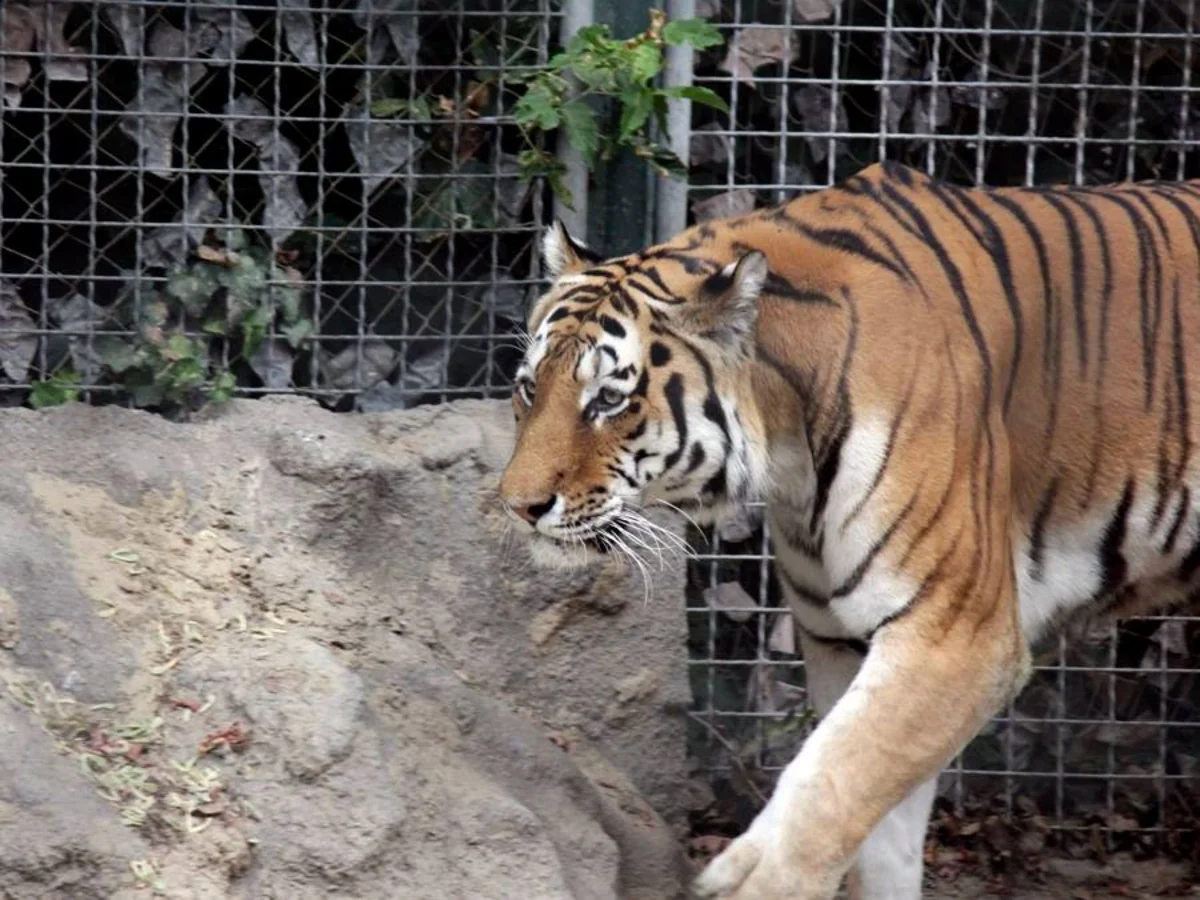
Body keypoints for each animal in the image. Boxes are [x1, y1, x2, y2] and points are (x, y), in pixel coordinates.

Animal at [495, 159, 1200, 900]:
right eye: (529, 387)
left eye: (608, 400)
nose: (517, 505)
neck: (789, 459)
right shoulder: (845, 640)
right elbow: (872, 821)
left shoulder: (955, 635)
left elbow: (833, 781)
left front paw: (751, 881)